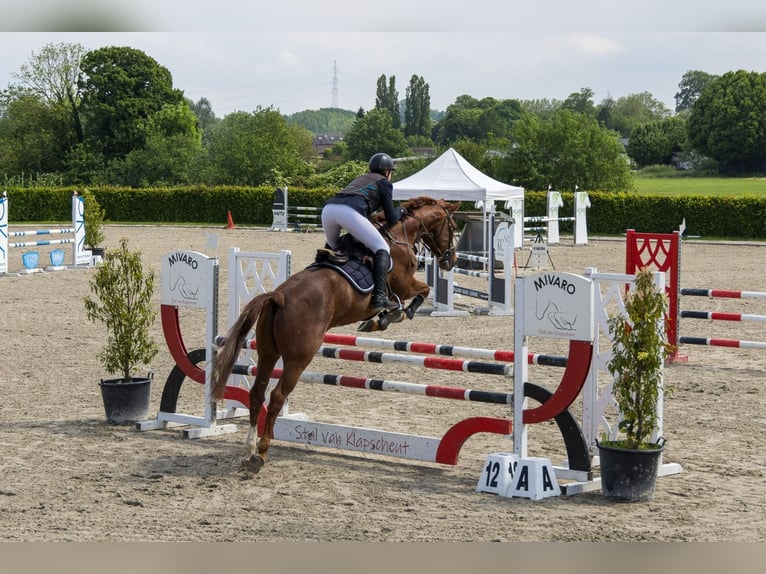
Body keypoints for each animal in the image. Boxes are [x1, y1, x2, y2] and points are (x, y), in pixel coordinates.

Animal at [213, 196, 460, 474]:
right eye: (453, 227)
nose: (450, 260)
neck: (400, 234)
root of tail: (279, 296)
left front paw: (381, 319)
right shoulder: (404, 285)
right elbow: (423, 291)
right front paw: (392, 314)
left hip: (267, 353)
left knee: (257, 393)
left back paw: (248, 449)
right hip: (298, 359)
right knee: (276, 396)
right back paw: (261, 453)